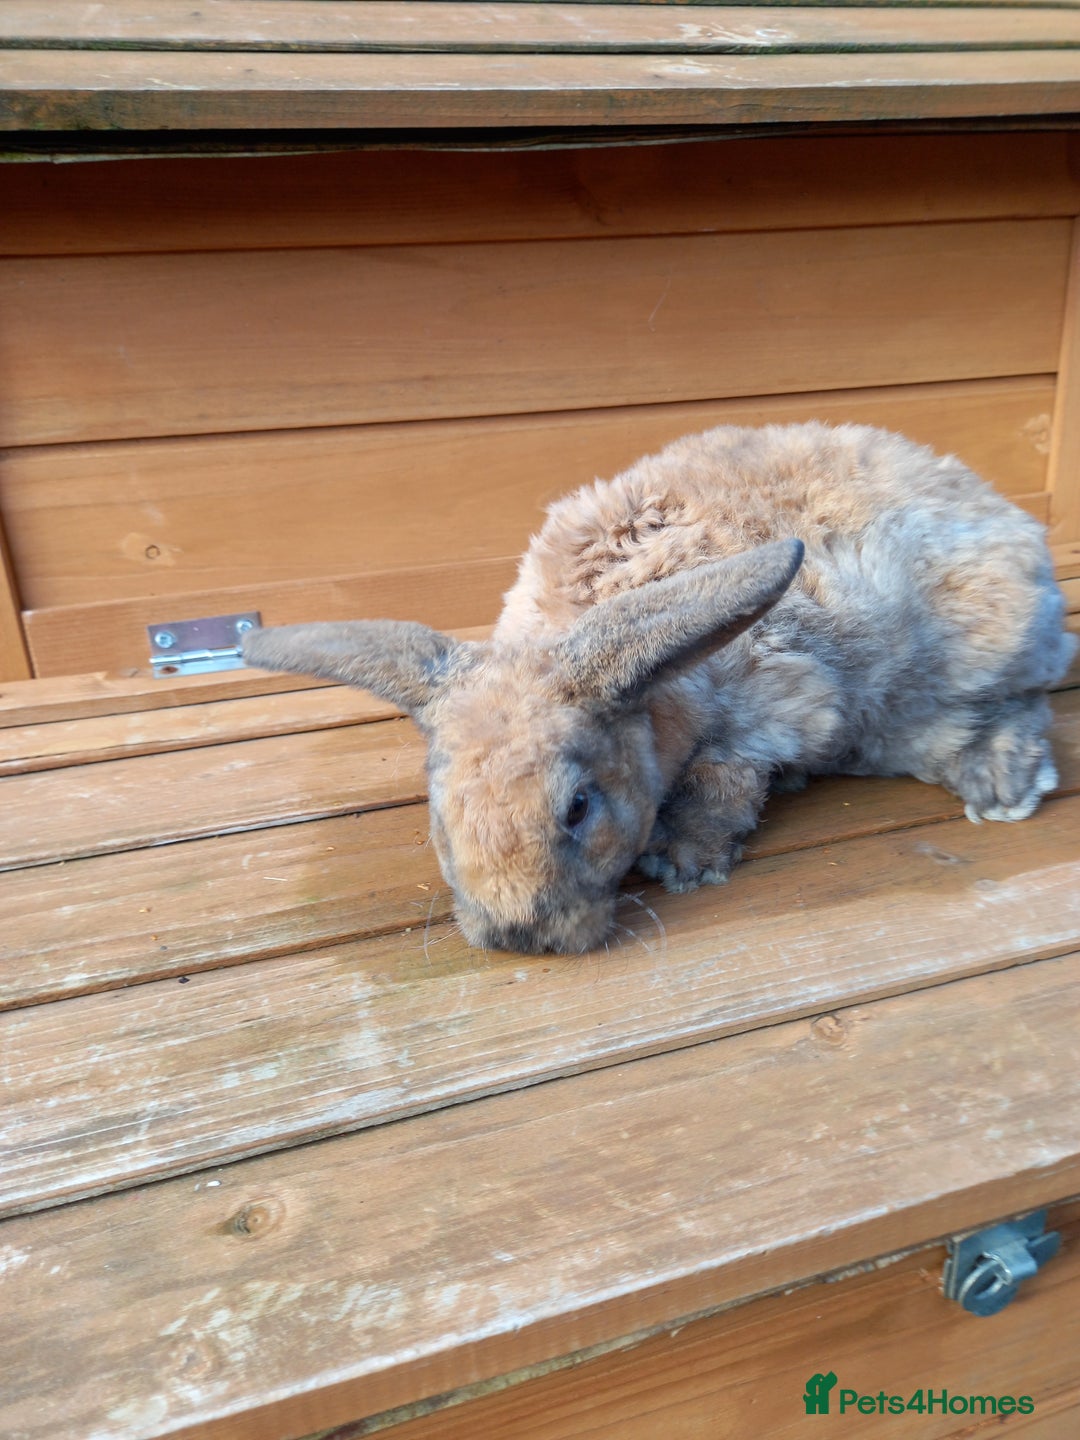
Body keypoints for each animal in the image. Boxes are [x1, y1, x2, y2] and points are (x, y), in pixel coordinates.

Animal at [242, 422, 1076, 956]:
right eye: (440, 814)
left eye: (578, 807)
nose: (519, 938)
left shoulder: (785, 702)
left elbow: (731, 771)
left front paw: (682, 857)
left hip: (965, 655)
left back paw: (1004, 782)